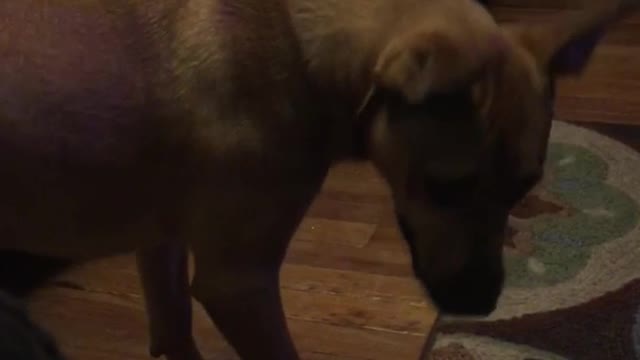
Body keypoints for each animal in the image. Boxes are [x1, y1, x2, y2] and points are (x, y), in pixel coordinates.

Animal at [0, 0, 632, 358]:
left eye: (525, 189)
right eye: (445, 187)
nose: (479, 304)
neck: (301, 46)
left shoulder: (161, 241)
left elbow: (173, 327)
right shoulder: (239, 286)